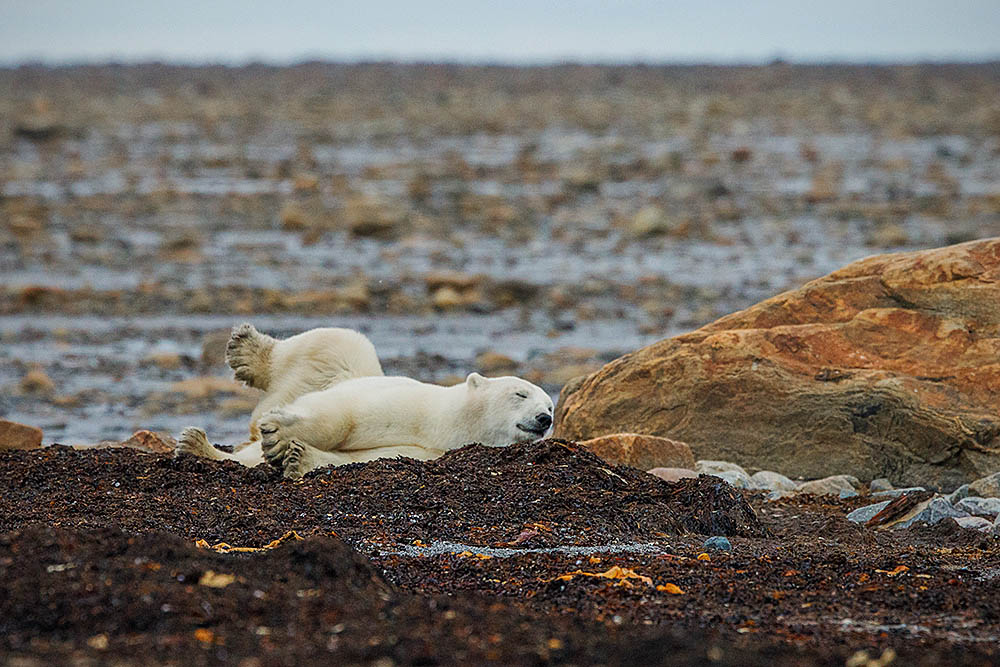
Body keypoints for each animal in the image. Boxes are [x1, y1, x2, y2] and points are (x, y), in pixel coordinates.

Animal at [180, 324, 556, 478]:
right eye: (520, 393)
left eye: (550, 404)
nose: (545, 419)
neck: (442, 424)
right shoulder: (408, 403)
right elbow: (344, 415)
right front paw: (278, 434)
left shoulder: (425, 452)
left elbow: (359, 457)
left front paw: (294, 456)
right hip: (338, 364)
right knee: (334, 341)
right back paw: (246, 349)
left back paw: (197, 446)